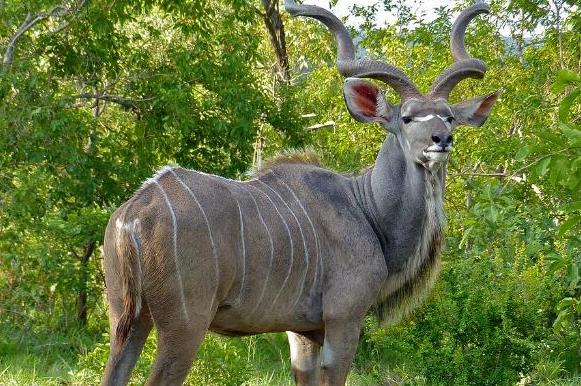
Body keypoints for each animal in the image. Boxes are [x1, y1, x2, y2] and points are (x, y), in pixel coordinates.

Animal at [101, 1, 498, 384]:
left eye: (448, 116)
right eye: (407, 118)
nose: (441, 139)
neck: (367, 208)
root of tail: (134, 213)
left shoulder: (303, 331)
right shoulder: (344, 319)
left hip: (127, 320)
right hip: (184, 325)